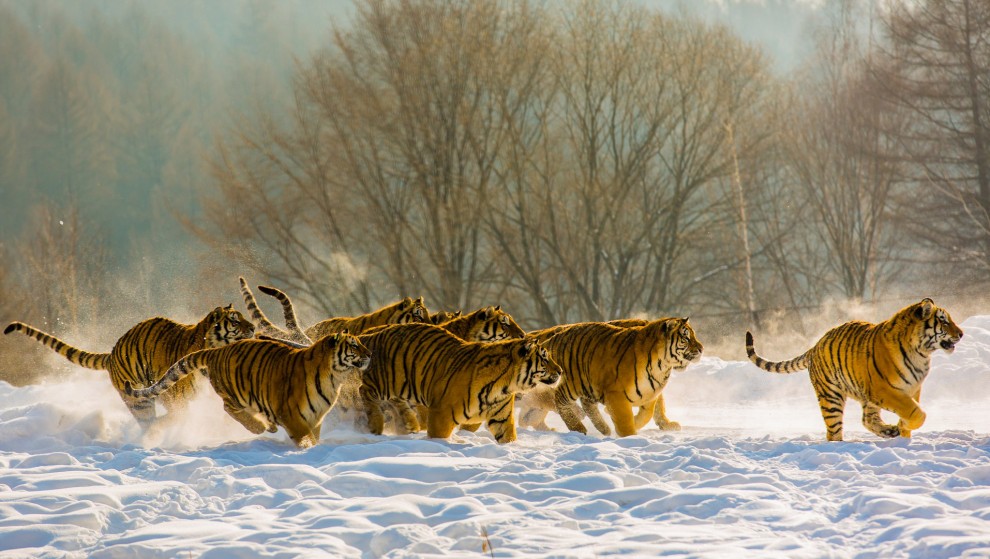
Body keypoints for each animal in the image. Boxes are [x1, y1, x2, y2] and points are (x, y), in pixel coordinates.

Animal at [4, 308, 252, 430]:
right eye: (235, 321)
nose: (252, 327)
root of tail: (112, 354)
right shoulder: (176, 400)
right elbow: (177, 417)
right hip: (138, 401)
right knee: (147, 422)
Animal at [124, 332, 372, 450]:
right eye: (354, 345)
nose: (370, 354)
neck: (334, 378)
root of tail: (217, 351)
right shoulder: (291, 414)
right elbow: (304, 438)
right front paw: (307, 449)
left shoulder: (316, 417)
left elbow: (314, 436)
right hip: (234, 393)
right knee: (230, 409)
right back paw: (261, 426)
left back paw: (268, 425)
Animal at [356, 322, 560, 444]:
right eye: (544, 358)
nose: (560, 371)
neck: (504, 386)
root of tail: (372, 334)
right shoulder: (441, 413)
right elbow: (438, 436)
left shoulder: (501, 418)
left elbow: (508, 438)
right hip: (384, 380)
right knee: (364, 390)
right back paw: (376, 424)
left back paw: (406, 425)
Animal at [528, 320, 704, 438]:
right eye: (687, 338)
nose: (701, 348)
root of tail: (556, 337)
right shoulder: (617, 392)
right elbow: (630, 416)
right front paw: (630, 435)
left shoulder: (650, 389)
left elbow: (650, 411)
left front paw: (660, 424)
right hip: (572, 383)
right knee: (560, 400)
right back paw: (579, 428)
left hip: (586, 385)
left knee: (586, 405)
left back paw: (603, 428)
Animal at [748, 298, 964, 442]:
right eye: (944, 321)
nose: (961, 334)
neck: (921, 353)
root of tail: (815, 346)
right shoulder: (885, 390)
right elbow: (916, 412)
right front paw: (904, 427)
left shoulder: (913, 387)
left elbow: (912, 410)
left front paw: (903, 431)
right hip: (832, 397)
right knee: (834, 432)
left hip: (866, 396)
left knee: (867, 419)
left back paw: (889, 431)